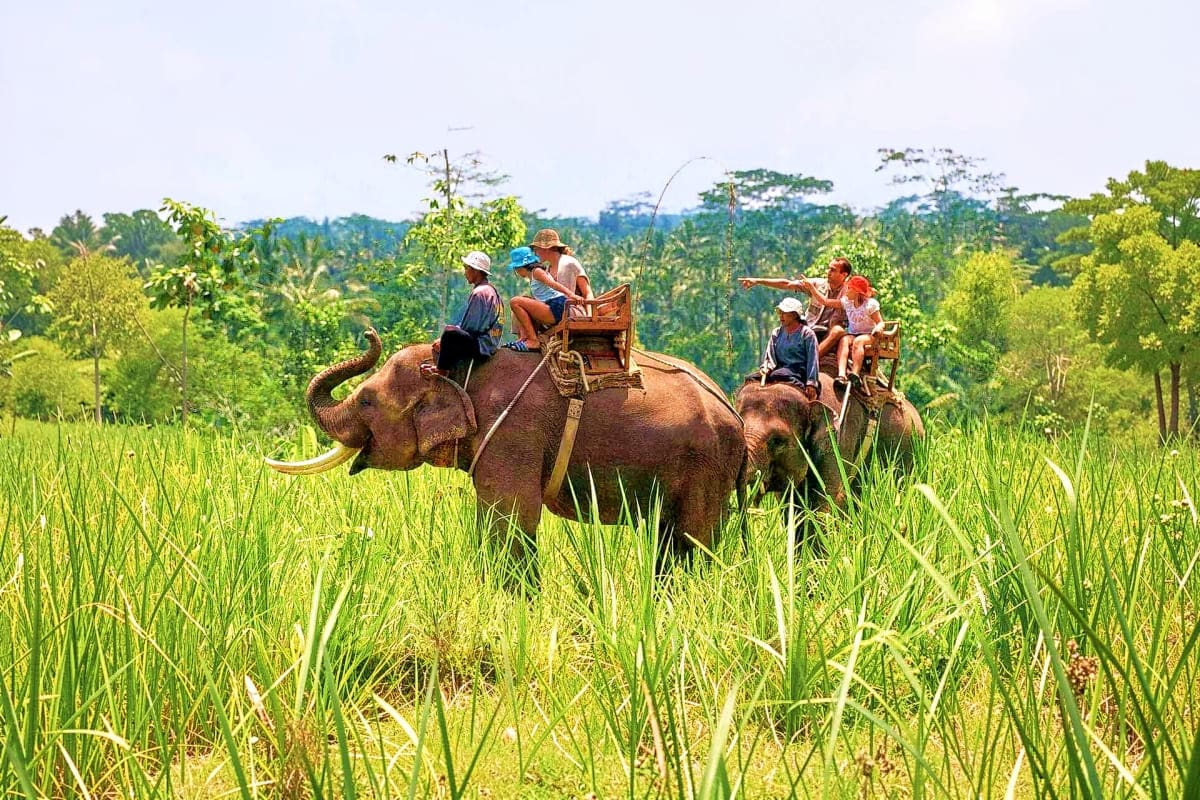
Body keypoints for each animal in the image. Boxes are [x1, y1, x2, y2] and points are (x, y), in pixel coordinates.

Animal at [267, 330, 746, 580]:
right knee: (672, 537)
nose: (369, 333)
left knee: (691, 539)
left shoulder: (514, 433)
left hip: (706, 465)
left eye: (366, 400)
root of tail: (735, 415)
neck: (461, 368)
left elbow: (512, 515)